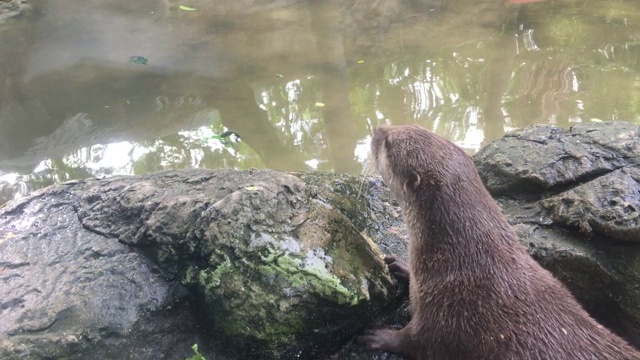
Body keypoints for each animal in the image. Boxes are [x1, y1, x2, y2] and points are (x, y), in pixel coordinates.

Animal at [358, 124, 636, 360]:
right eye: (408, 125)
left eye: (388, 143)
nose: (378, 128)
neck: (461, 257)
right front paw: (403, 266)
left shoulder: (449, 311)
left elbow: (417, 340)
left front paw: (380, 336)